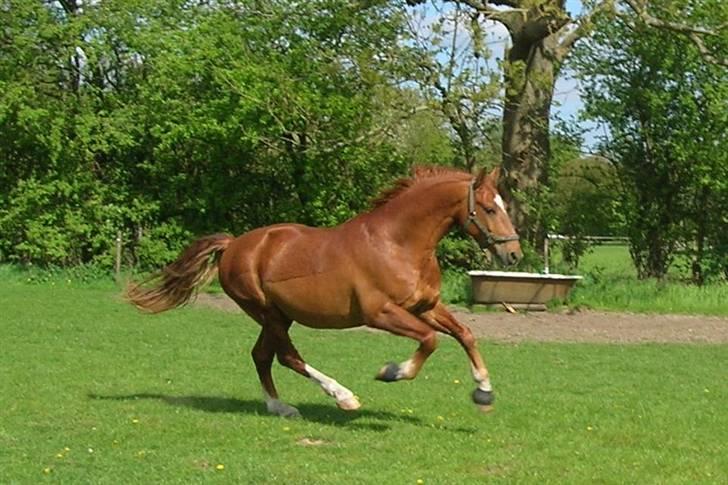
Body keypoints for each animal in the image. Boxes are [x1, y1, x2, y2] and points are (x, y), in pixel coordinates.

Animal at [128, 164, 520, 414]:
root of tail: (234, 244)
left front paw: (483, 391)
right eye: (489, 208)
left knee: (262, 356)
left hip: (279, 315)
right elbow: (430, 340)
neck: (398, 243)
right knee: (286, 357)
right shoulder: (381, 313)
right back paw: (343, 397)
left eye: (503, 206)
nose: (513, 253)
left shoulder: (425, 306)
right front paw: (391, 372)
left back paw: (279, 406)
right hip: (266, 311)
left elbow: (465, 334)